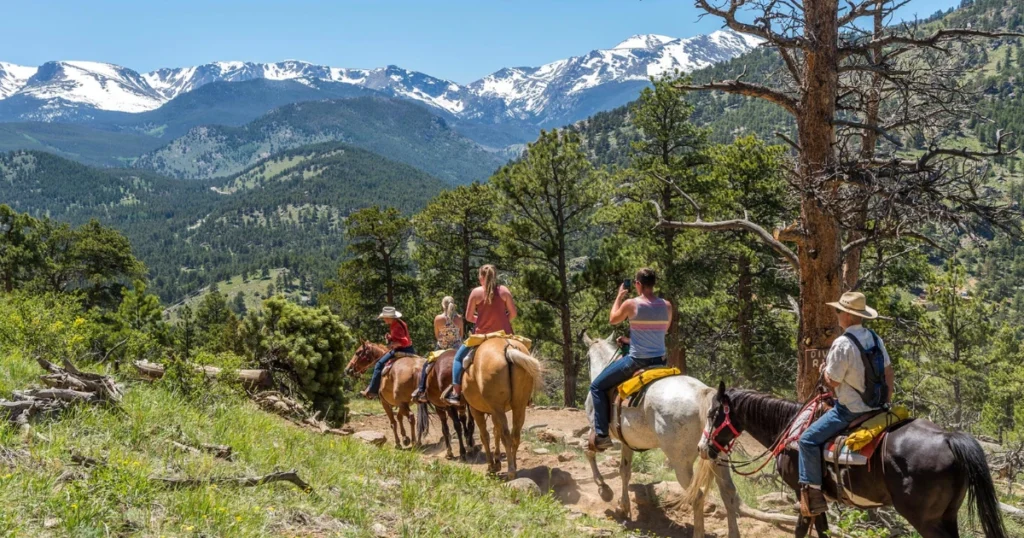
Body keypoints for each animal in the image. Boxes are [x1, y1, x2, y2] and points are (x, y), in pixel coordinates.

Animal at [460, 336, 540, 477]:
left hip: (498, 408)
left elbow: (485, 435)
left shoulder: (477, 411)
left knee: (506, 435)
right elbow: (495, 431)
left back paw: (511, 471)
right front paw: (497, 462)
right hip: (519, 405)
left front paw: (491, 466)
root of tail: (508, 349)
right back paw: (514, 465)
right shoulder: (494, 411)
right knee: (515, 434)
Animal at [581, 334, 741, 536]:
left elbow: (588, 451)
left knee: (697, 495)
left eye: (587, 358)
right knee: (728, 492)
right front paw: (623, 507)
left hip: (681, 463)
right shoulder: (627, 442)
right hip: (719, 457)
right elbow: (624, 471)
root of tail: (702, 393)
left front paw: (604, 489)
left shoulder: (595, 429)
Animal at [700, 381, 1003, 536]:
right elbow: (822, 530)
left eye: (713, 413)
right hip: (947, 515)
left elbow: (802, 529)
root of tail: (949, 438)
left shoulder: (802, 491)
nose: (704, 448)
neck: (790, 427)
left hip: (924, 519)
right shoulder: (819, 497)